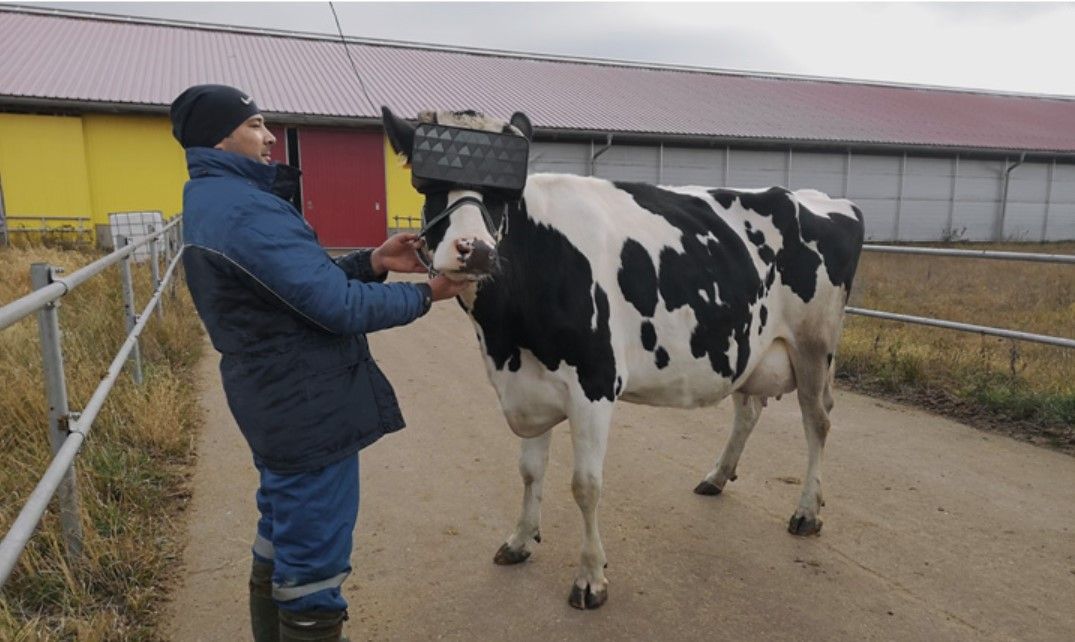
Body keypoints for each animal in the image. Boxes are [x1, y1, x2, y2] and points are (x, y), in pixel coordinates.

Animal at [382, 106, 865, 610]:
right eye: (429, 188)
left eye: (502, 195)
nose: (474, 249)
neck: (506, 338)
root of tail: (822, 199)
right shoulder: (528, 386)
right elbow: (530, 472)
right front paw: (519, 541)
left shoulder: (594, 383)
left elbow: (585, 485)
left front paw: (590, 577)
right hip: (747, 345)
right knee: (749, 409)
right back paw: (717, 476)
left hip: (814, 345)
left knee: (818, 421)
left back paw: (807, 512)